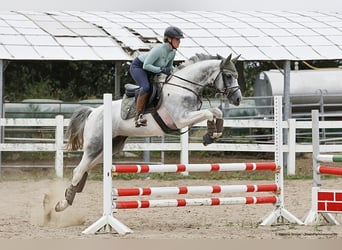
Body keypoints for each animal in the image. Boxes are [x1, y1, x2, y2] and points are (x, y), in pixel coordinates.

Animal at [55, 53, 240, 212]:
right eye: (228, 76)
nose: (238, 99)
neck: (184, 87)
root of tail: (93, 112)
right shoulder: (181, 119)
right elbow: (209, 112)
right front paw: (210, 135)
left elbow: (216, 111)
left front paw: (214, 134)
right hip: (94, 146)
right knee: (78, 170)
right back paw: (62, 204)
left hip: (109, 148)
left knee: (85, 169)